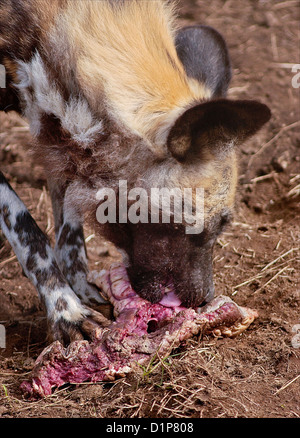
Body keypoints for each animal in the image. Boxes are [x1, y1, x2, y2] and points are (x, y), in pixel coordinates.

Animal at [0, 0, 270, 346]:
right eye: (193, 229)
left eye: (224, 226)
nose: (206, 299)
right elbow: (29, 233)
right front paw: (65, 310)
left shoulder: (62, 141)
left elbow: (69, 235)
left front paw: (81, 291)